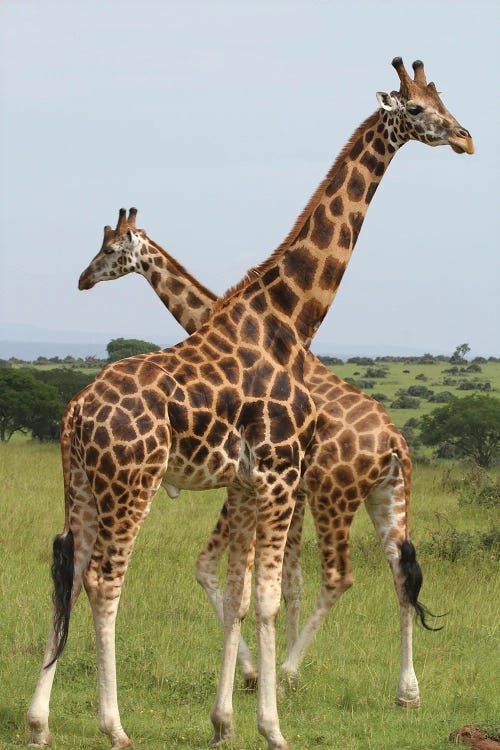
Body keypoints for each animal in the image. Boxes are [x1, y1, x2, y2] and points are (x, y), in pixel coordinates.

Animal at [28, 60, 472, 750]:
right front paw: (268, 720)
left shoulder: (249, 479)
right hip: (136, 483)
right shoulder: (277, 473)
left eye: (441, 100)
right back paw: (116, 723)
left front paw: (228, 716)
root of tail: (75, 413)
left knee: (71, 573)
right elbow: (261, 594)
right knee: (104, 580)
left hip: (86, 484)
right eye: (420, 110)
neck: (287, 320)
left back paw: (40, 720)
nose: (465, 136)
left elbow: (241, 590)